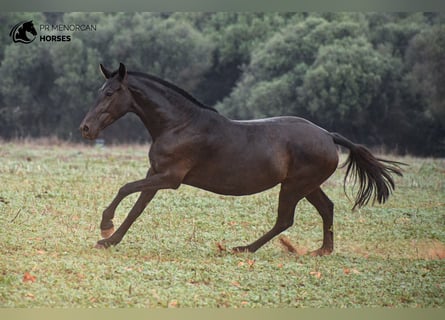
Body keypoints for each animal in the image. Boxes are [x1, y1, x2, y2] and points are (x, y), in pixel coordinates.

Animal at [79, 63, 402, 256]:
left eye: (110, 93)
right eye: (99, 91)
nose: (86, 128)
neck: (179, 124)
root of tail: (328, 135)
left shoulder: (170, 178)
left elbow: (125, 189)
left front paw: (105, 225)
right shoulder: (156, 174)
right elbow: (137, 208)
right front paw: (109, 240)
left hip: (295, 187)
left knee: (285, 219)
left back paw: (242, 248)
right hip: (307, 186)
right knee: (326, 208)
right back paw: (322, 251)